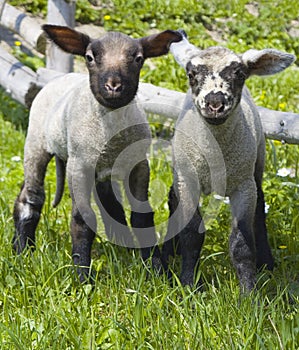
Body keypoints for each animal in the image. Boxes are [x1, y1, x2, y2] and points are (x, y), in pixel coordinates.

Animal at [12, 25, 183, 282]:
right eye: (90, 57)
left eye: (138, 58)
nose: (113, 86)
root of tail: (61, 77)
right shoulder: (79, 166)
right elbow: (83, 218)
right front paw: (83, 276)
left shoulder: (139, 165)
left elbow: (142, 216)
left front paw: (156, 269)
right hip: (36, 142)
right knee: (31, 196)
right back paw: (23, 249)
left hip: (100, 170)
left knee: (109, 204)